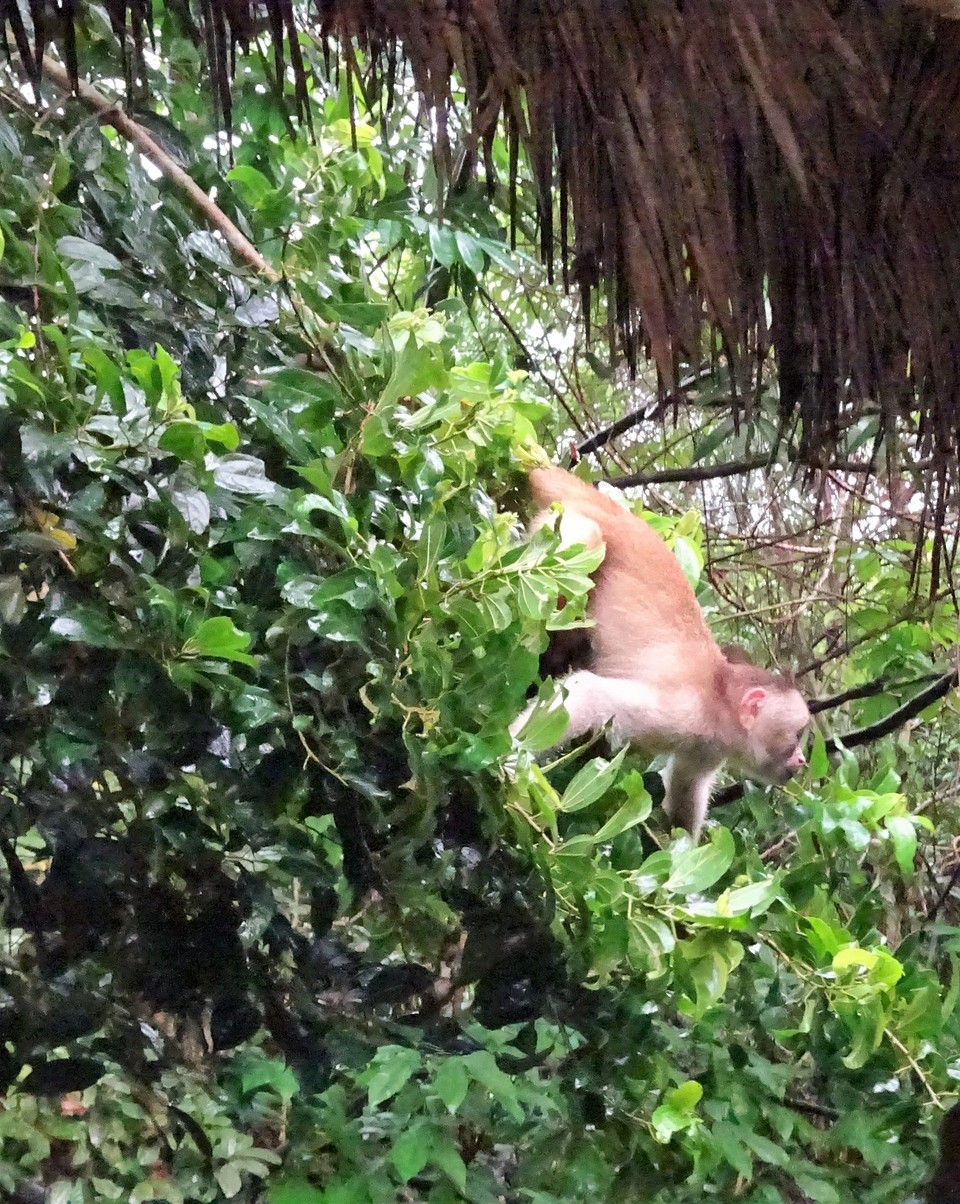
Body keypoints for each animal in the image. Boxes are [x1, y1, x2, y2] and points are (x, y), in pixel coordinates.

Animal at [508, 464, 809, 842]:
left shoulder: (708, 747)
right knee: (587, 542)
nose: (801, 760)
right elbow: (591, 695)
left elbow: (686, 789)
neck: (719, 703)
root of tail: (616, 512)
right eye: (796, 736)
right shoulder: (685, 712)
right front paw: (508, 763)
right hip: (565, 527)